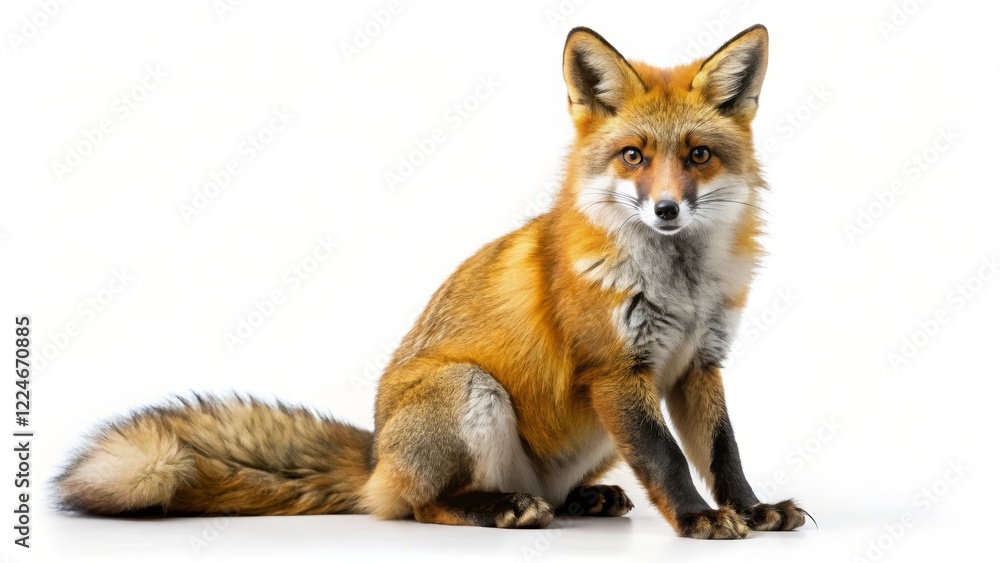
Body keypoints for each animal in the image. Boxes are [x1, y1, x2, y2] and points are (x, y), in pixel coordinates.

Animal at [55, 25, 809, 539]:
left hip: (590, 433)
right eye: (633, 156)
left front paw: (752, 509)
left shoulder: (696, 365)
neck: (681, 284)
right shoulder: (617, 369)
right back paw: (497, 508)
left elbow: (722, 452)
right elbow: (668, 460)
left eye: (698, 155)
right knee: (419, 507)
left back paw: (579, 500)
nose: (666, 210)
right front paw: (698, 519)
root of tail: (376, 457)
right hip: (470, 389)